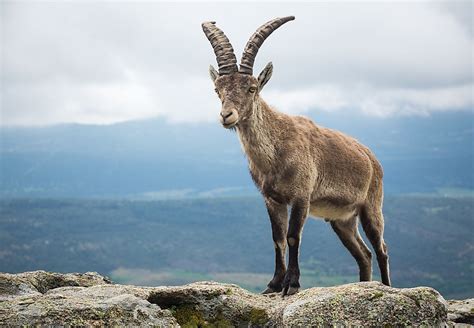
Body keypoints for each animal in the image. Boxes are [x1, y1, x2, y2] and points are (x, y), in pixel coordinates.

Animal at [202, 16, 390, 296]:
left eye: (252, 88)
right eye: (217, 89)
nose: (227, 116)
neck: (275, 153)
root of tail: (371, 158)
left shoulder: (302, 196)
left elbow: (293, 236)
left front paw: (292, 284)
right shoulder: (272, 199)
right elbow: (277, 238)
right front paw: (273, 284)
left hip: (371, 206)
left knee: (381, 248)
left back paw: (389, 288)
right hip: (342, 221)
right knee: (363, 254)